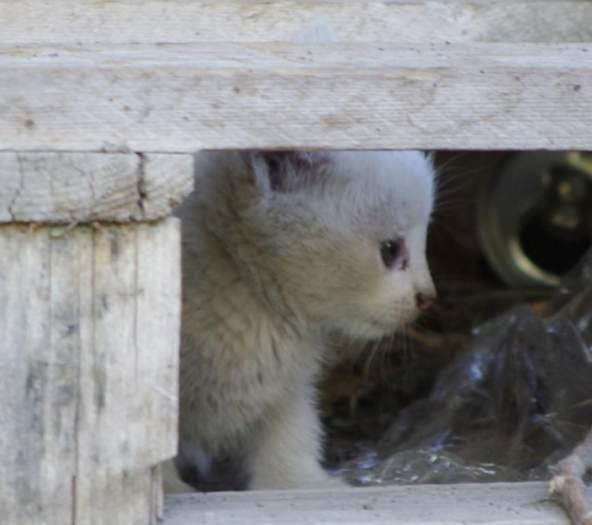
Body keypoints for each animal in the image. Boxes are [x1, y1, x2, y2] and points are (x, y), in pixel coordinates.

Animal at [164, 150, 438, 492]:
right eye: (390, 250)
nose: (428, 296)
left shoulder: (286, 385)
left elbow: (289, 432)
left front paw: (300, 483)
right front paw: (170, 488)